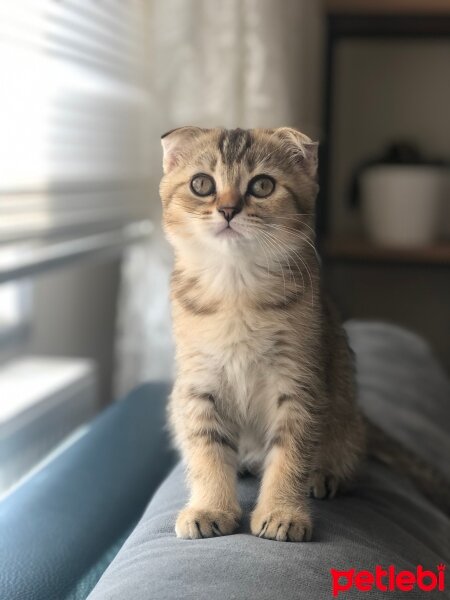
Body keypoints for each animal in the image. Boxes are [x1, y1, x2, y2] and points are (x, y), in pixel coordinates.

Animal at [160, 125, 448, 540]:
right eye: (202, 184)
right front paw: (210, 507)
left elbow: (290, 454)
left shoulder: (299, 382)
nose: (228, 210)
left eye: (262, 185)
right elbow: (206, 449)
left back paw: (323, 475)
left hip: (343, 414)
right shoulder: (198, 382)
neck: (236, 288)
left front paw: (282, 512)